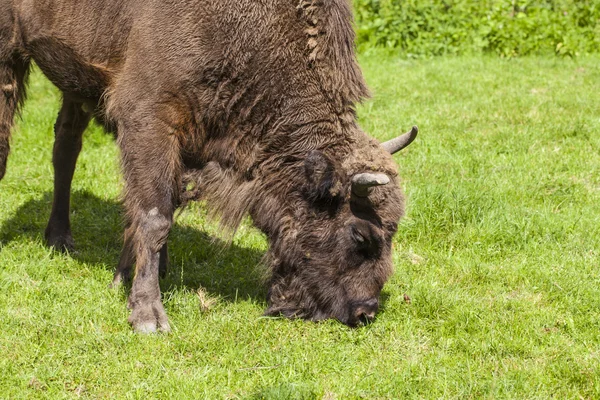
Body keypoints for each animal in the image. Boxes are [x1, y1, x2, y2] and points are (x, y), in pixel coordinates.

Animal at [1, 0, 418, 332]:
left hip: (75, 84)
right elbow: (155, 217)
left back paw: (60, 239)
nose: (365, 312)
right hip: (11, 54)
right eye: (360, 236)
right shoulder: (149, 122)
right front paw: (149, 316)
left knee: (65, 147)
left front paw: (130, 277)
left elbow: (161, 206)